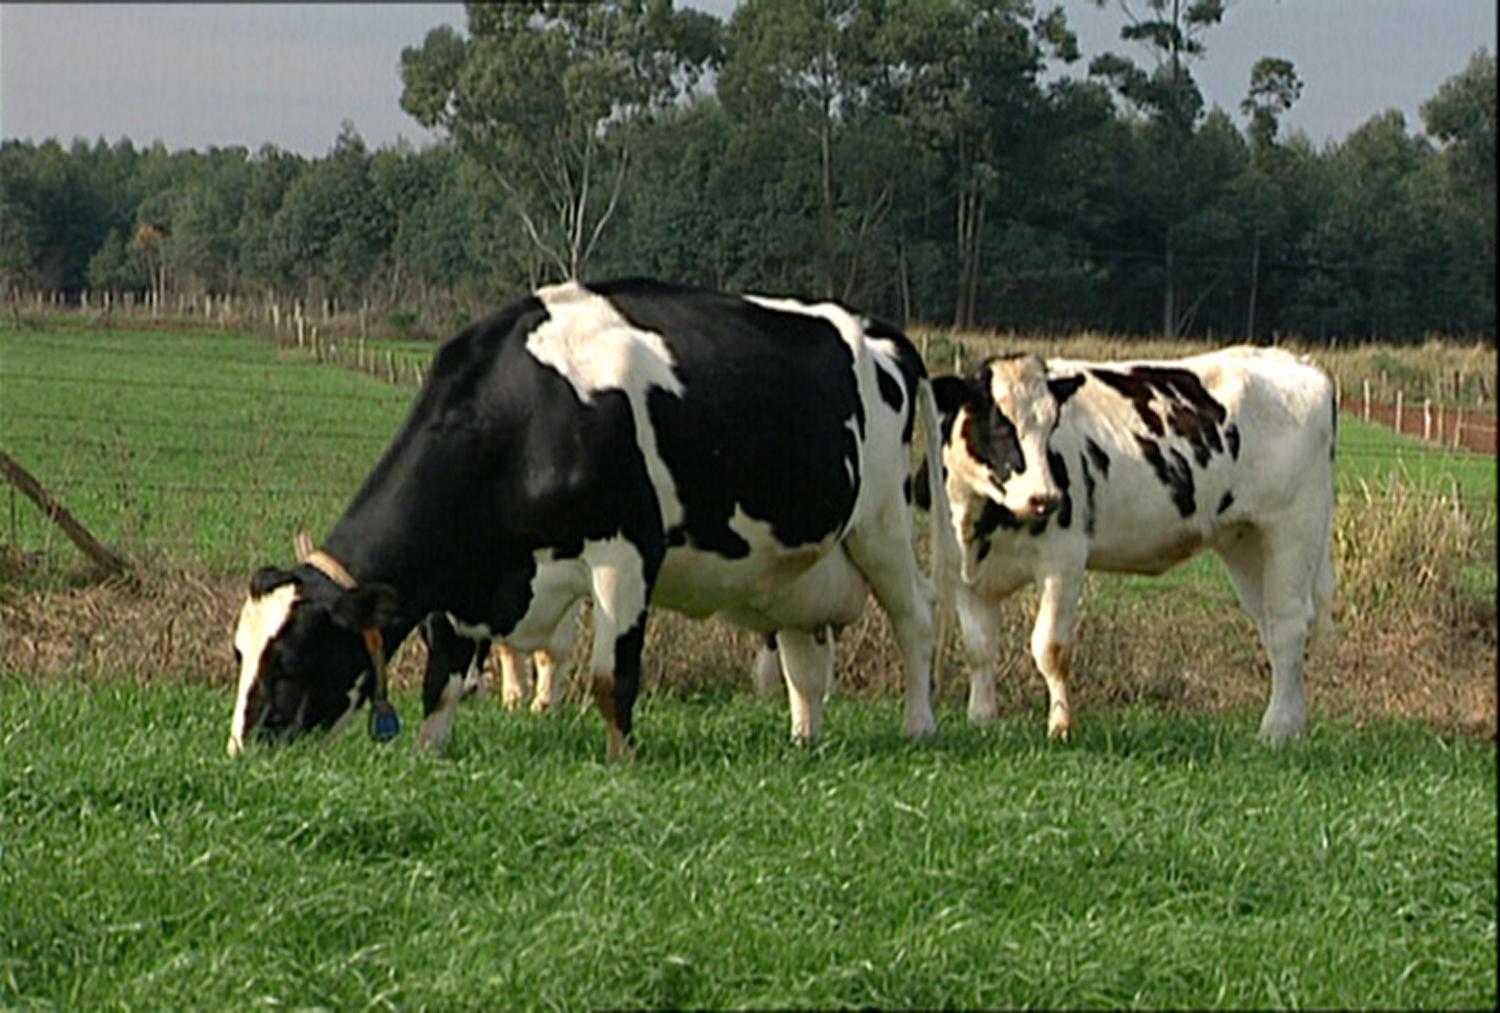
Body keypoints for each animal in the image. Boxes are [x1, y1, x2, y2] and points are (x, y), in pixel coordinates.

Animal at [229, 277, 953, 759]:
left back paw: (920, 724)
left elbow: (612, 677)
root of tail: (872, 327)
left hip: (881, 523)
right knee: (807, 656)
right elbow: (443, 680)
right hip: (800, 567)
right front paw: (429, 753)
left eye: (290, 658)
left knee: (916, 616)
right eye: (241, 651)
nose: (244, 748)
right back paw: (805, 738)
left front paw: (622, 761)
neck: (523, 412)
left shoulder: (625, 552)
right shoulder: (464, 584)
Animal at [924, 346, 1335, 744]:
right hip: (1244, 542)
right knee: (1271, 627)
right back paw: (1293, 725)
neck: (983, 519)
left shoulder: (1064, 559)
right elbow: (978, 649)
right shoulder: (966, 574)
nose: (1046, 498)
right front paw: (982, 719)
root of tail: (1297, 362)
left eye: (1052, 425)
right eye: (998, 425)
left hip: (1293, 528)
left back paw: (1277, 730)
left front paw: (1060, 725)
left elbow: (1050, 648)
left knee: (1288, 624)